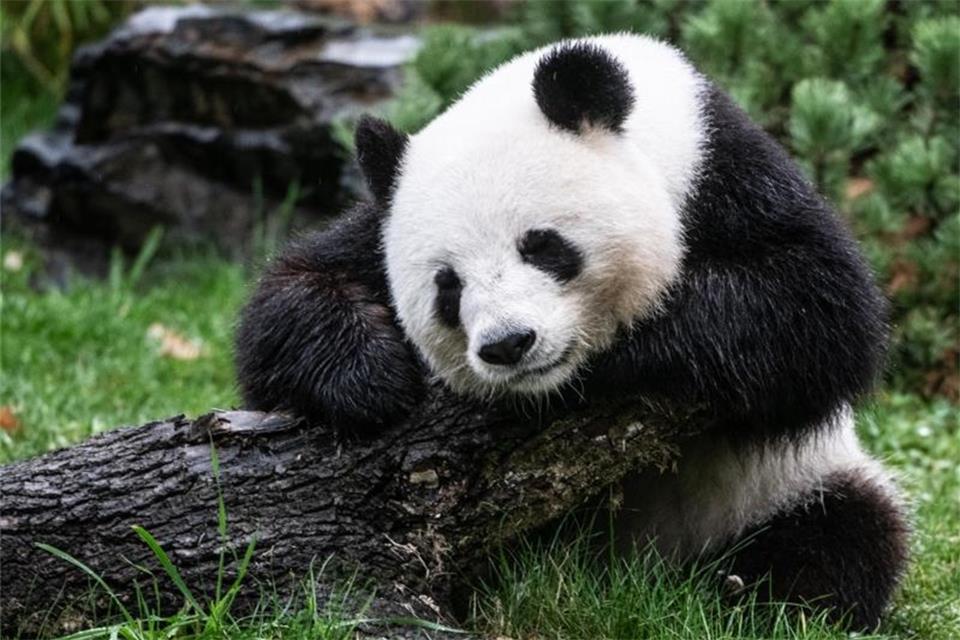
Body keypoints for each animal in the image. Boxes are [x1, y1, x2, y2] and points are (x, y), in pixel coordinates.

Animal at [235, 35, 909, 630]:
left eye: (542, 246)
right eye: (448, 286)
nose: (508, 344)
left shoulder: (724, 171)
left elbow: (821, 308)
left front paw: (633, 345)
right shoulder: (372, 230)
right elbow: (285, 303)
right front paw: (371, 376)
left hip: (784, 487)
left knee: (841, 538)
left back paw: (743, 592)